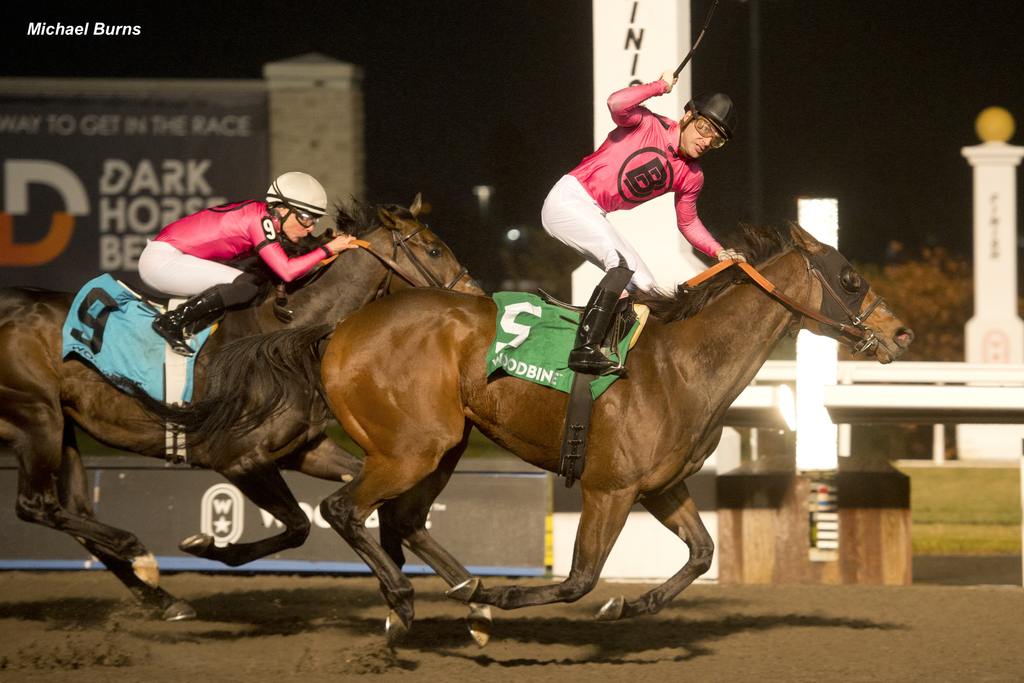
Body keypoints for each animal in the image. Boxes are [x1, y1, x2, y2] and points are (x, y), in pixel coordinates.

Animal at [0, 194, 483, 622]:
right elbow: (298, 526)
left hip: (63, 425)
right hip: (36, 416)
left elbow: (352, 492)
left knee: (76, 511)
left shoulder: (303, 450)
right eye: (434, 249)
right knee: (35, 505)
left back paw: (162, 598)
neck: (284, 335)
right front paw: (206, 546)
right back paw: (138, 551)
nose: (476, 297)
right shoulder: (239, 460)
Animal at [157, 222, 913, 643]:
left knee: (400, 519)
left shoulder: (661, 487)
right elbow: (579, 578)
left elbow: (701, 554)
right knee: (347, 510)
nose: (902, 332)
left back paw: (452, 596)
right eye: (850, 275)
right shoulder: (610, 488)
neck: (680, 362)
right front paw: (513, 596)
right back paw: (414, 601)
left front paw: (632, 604)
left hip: (444, 443)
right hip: (411, 447)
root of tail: (336, 329)